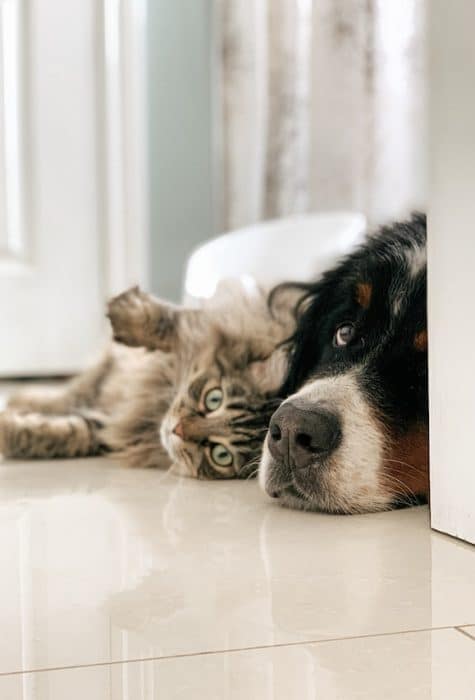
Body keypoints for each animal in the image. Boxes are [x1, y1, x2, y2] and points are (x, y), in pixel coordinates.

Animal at [0, 282, 298, 478]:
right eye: (214, 399)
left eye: (220, 455)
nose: (177, 430)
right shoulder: (219, 324)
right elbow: (172, 323)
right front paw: (128, 312)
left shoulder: (111, 428)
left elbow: (70, 433)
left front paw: (9, 430)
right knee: (69, 393)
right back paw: (22, 398)